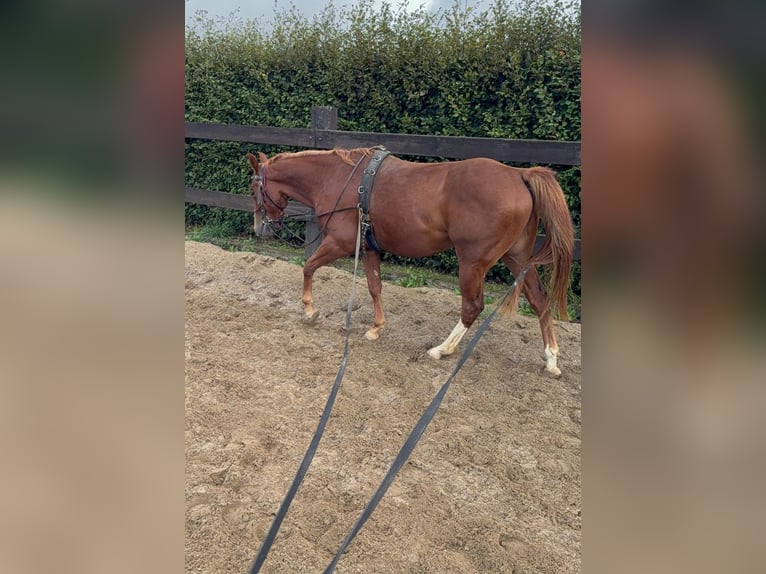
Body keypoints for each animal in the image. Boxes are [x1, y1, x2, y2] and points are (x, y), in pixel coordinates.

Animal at [247, 148, 574, 375]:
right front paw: (376, 327)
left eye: (253, 189)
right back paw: (551, 358)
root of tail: (519, 175)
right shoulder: (370, 249)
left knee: (472, 307)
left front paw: (309, 310)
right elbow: (374, 286)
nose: (260, 228)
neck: (340, 180)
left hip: (472, 262)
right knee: (539, 300)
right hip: (517, 258)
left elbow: (309, 266)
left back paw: (442, 349)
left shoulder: (340, 243)